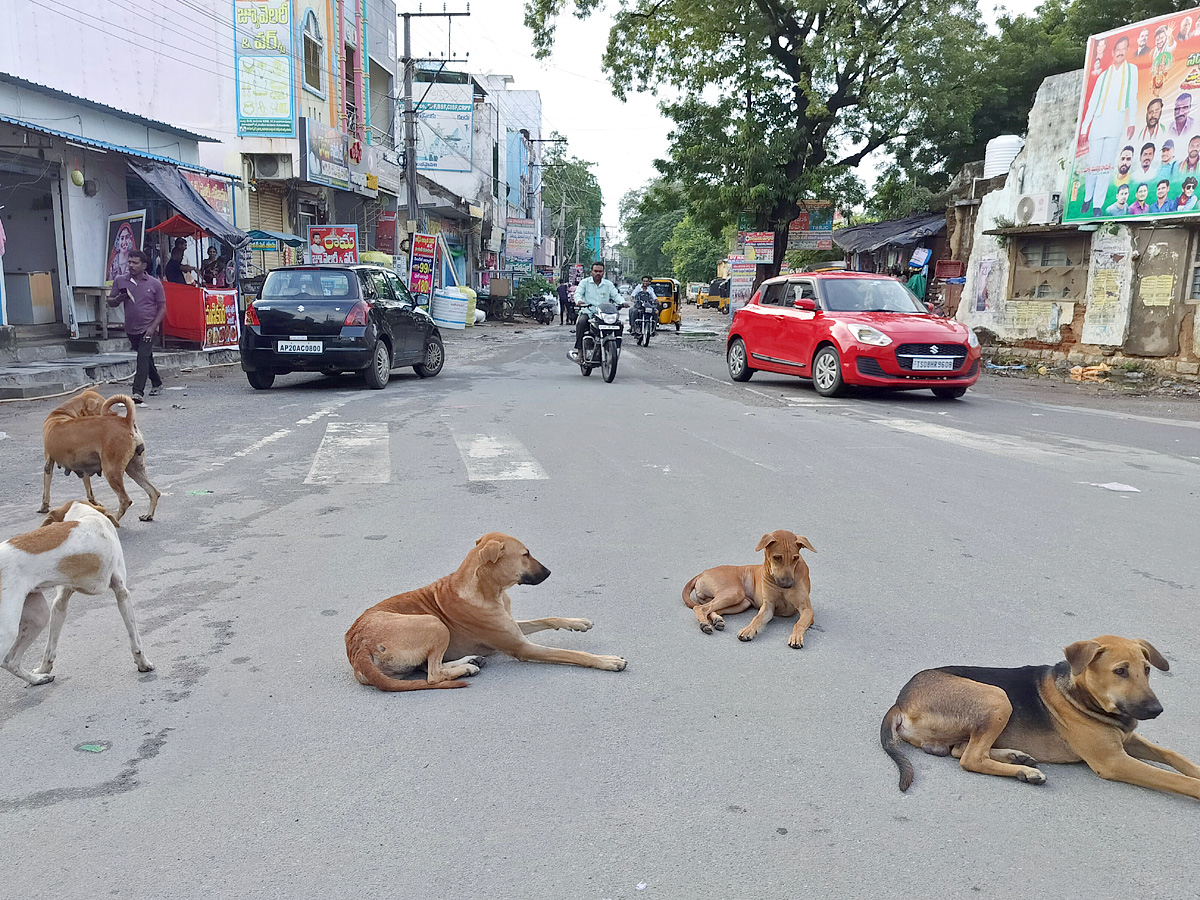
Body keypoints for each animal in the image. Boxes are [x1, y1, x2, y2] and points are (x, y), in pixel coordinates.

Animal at [0, 504, 154, 686]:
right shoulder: (123, 594)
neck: (85, 514)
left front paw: (44, 669)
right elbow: (135, 639)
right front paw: (143, 663)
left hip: (38, 617)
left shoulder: (60, 602)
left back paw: (37, 678)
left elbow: (50, 648)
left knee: (10, 661)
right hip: (8, 630)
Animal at [41, 391, 160, 525]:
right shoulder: (83, 467)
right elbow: (89, 488)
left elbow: (46, 487)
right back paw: (148, 514)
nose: (114, 412)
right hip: (134, 469)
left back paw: (114, 519)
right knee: (153, 492)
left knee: (125, 500)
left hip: (112, 472)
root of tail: (126, 421)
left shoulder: (48, 462)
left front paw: (44, 506)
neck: (61, 413)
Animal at [345, 532, 628, 696]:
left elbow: (547, 618)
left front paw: (578, 623)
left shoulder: (515, 626)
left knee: (429, 668)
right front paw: (607, 661)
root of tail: (357, 649)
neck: (489, 589)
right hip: (434, 623)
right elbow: (573, 654)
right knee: (432, 675)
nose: (549, 572)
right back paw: (465, 668)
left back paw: (469, 662)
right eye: (525, 554)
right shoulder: (522, 647)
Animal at [686, 528, 816, 648]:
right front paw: (748, 630)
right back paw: (705, 624)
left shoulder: (807, 610)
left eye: (795, 558)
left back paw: (717, 620)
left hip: (741, 603)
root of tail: (702, 573)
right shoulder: (768, 607)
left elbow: (799, 623)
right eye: (777, 557)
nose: (788, 585)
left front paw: (796, 637)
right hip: (734, 593)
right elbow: (756, 618)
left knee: (711, 610)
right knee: (700, 608)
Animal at [883, 638, 1200, 801]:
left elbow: (1173, 755)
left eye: (1147, 669)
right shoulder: (1113, 761)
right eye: (1120, 671)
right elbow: (1171, 778)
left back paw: (1018, 759)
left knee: (962, 750)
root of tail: (900, 702)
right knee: (970, 758)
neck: (1082, 694)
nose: (1156, 710)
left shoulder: (1128, 738)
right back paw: (1025, 772)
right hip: (997, 696)